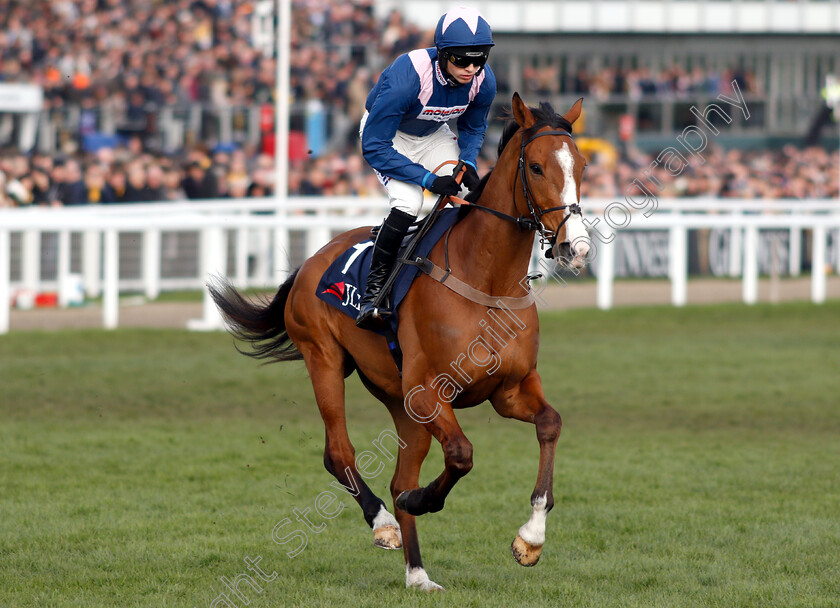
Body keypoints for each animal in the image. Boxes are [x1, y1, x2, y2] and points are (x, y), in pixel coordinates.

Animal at [210, 92, 592, 592]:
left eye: (582, 165)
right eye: (536, 166)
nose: (575, 246)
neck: (486, 279)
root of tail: (314, 259)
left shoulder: (509, 389)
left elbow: (550, 424)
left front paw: (530, 539)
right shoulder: (429, 390)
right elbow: (462, 455)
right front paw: (421, 500)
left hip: (401, 404)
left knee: (396, 477)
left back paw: (418, 574)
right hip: (324, 360)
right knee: (339, 453)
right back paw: (386, 524)